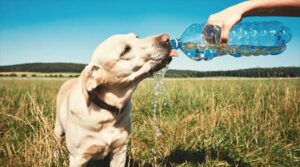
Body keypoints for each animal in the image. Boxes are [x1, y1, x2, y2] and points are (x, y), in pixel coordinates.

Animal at [54, 33, 177, 166]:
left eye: (137, 36)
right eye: (125, 50)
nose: (166, 38)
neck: (107, 112)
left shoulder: (120, 150)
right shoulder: (78, 157)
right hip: (58, 129)